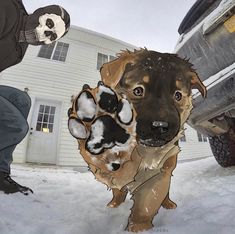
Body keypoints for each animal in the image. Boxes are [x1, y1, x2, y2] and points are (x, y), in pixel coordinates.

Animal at [100, 48, 207, 231]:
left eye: (178, 95)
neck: (142, 150)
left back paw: (169, 204)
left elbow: (147, 203)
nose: (160, 126)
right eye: (138, 91)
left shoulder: (161, 172)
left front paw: (138, 227)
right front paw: (114, 206)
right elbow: (117, 186)